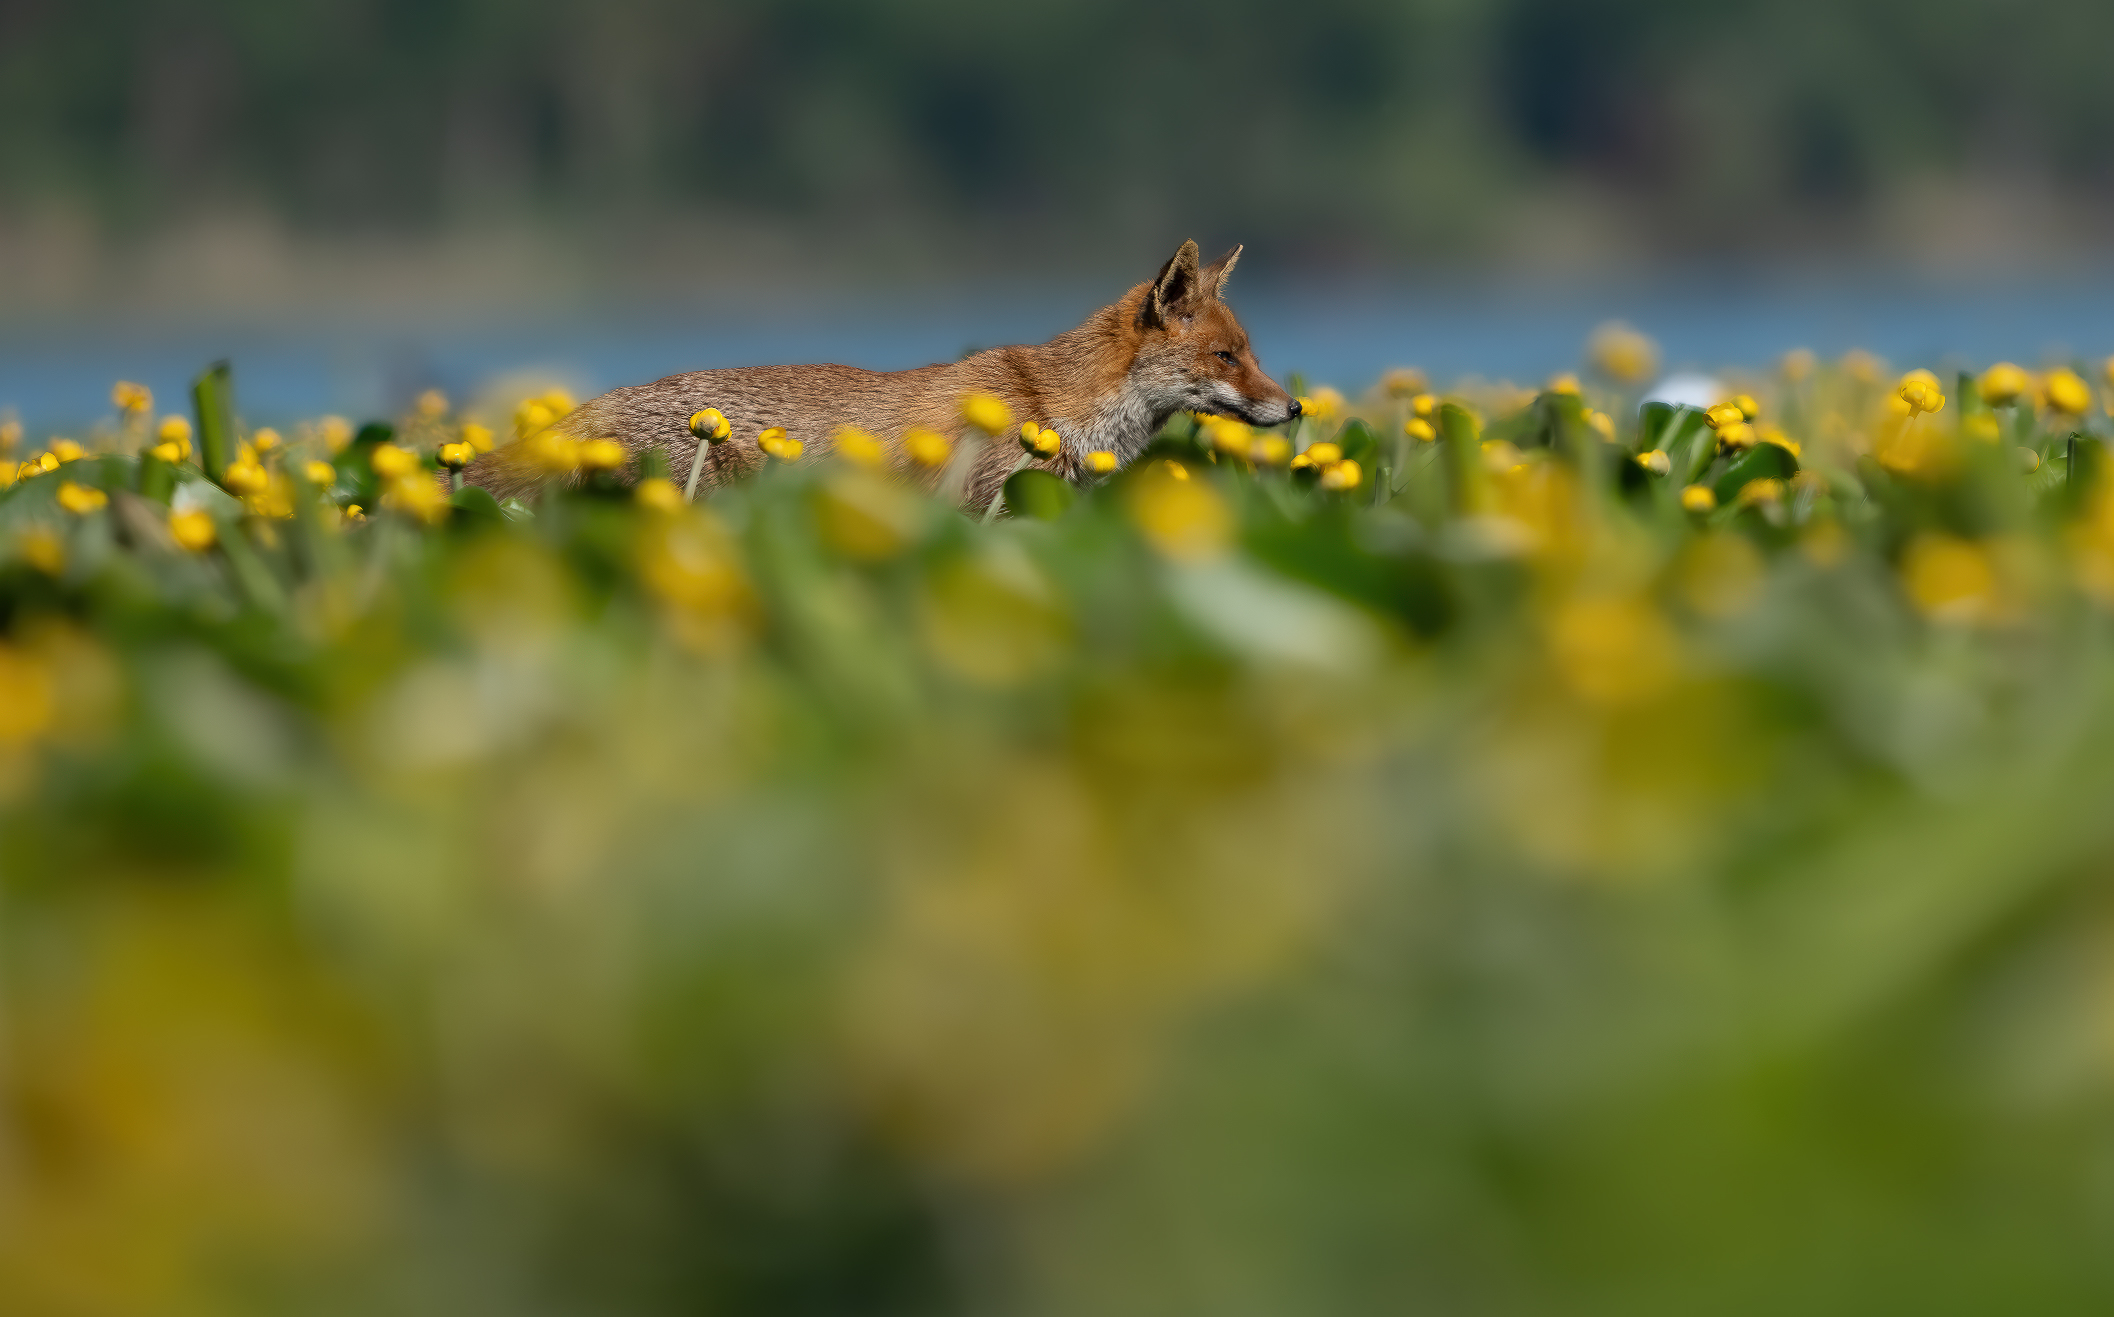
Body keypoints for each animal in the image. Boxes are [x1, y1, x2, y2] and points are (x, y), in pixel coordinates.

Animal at [464, 240, 1301, 512]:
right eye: (1228, 358)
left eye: (1251, 352)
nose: (1293, 408)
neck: (1053, 405)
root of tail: (599, 403)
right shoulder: (983, 513)